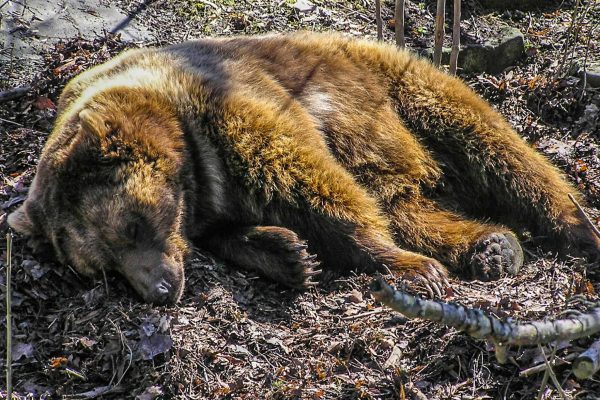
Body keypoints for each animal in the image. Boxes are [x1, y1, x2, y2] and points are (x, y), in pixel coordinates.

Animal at [5, 32, 600, 304]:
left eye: (132, 225)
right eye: (103, 267)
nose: (160, 288)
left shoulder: (232, 110)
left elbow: (310, 180)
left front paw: (407, 266)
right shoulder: (206, 205)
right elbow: (240, 231)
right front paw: (290, 254)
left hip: (392, 83)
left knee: (496, 148)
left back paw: (575, 228)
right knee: (406, 203)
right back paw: (490, 246)